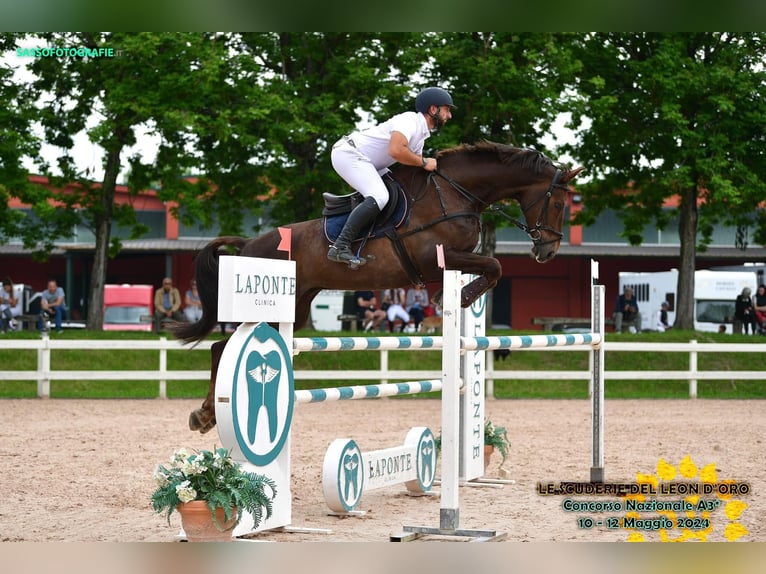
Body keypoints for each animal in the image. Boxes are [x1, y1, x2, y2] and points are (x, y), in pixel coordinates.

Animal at [172, 142, 584, 434]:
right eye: (558, 204)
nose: (547, 252)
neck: (456, 193)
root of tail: (249, 244)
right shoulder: (439, 257)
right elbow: (494, 266)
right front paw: (454, 297)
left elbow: (491, 267)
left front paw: (453, 297)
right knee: (220, 348)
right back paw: (204, 415)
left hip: (295, 310)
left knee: (226, 346)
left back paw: (206, 414)